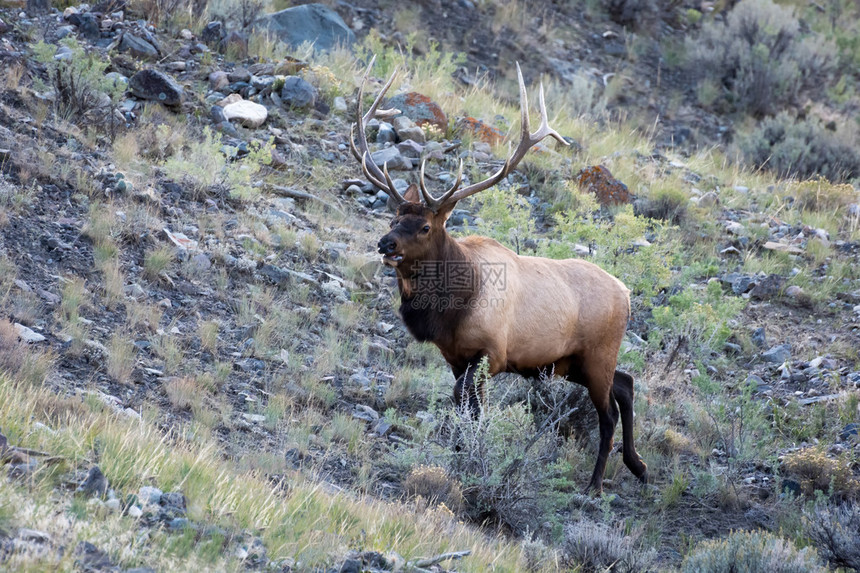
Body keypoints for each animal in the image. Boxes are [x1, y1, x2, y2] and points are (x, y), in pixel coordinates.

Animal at [348, 57, 644, 492]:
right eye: (393, 218)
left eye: (425, 227)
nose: (386, 244)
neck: (451, 309)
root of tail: (626, 294)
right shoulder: (456, 356)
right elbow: (463, 407)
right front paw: (456, 457)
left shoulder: (491, 353)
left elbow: (470, 407)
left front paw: (468, 462)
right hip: (571, 362)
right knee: (626, 383)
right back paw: (639, 466)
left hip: (597, 354)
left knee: (608, 412)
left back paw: (595, 484)